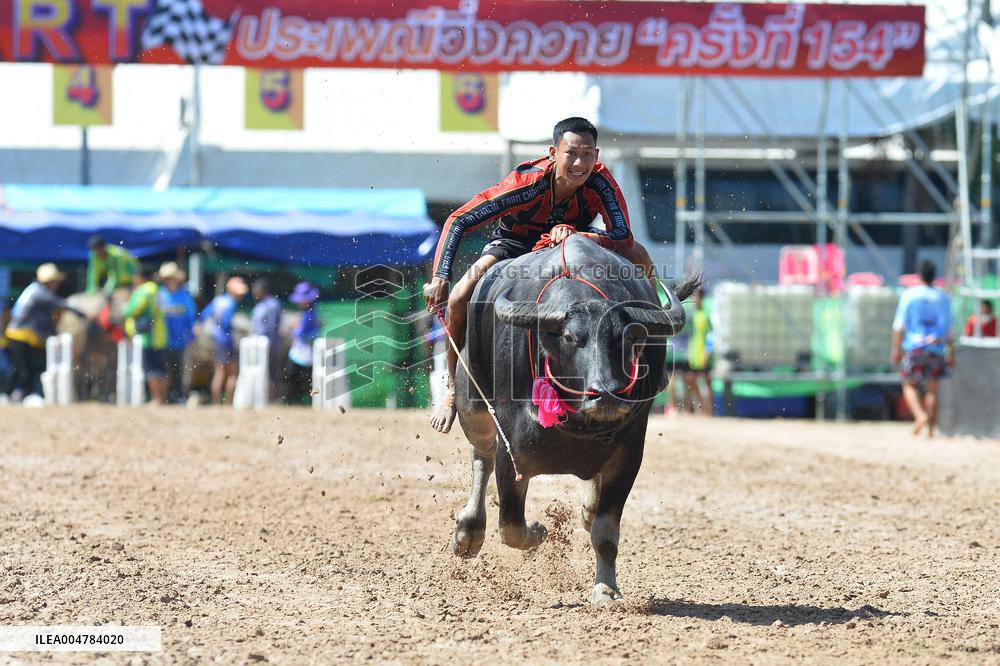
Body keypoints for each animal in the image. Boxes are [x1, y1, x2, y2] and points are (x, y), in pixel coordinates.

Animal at [450, 234, 699, 605]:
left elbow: (605, 532)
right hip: (472, 402)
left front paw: (606, 589)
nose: (606, 394)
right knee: (481, 455)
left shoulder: (628, 455)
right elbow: (510, 524)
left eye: (627, 338)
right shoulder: (513, 451)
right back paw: (468, 532)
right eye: (570, 337)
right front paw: (539, 531)